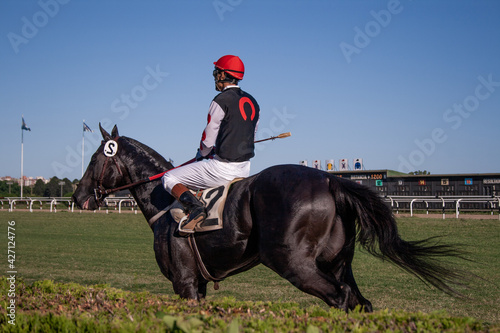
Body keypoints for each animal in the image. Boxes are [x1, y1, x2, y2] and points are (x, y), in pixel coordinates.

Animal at [72, 123, 466, 310]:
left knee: (339, 298)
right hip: (339, 262)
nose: (78, 197)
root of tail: (330, 179)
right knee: (360, 302)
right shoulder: (198, 284)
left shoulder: (184, 283)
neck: (164, 205)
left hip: (294, 263)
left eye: (93, 159)